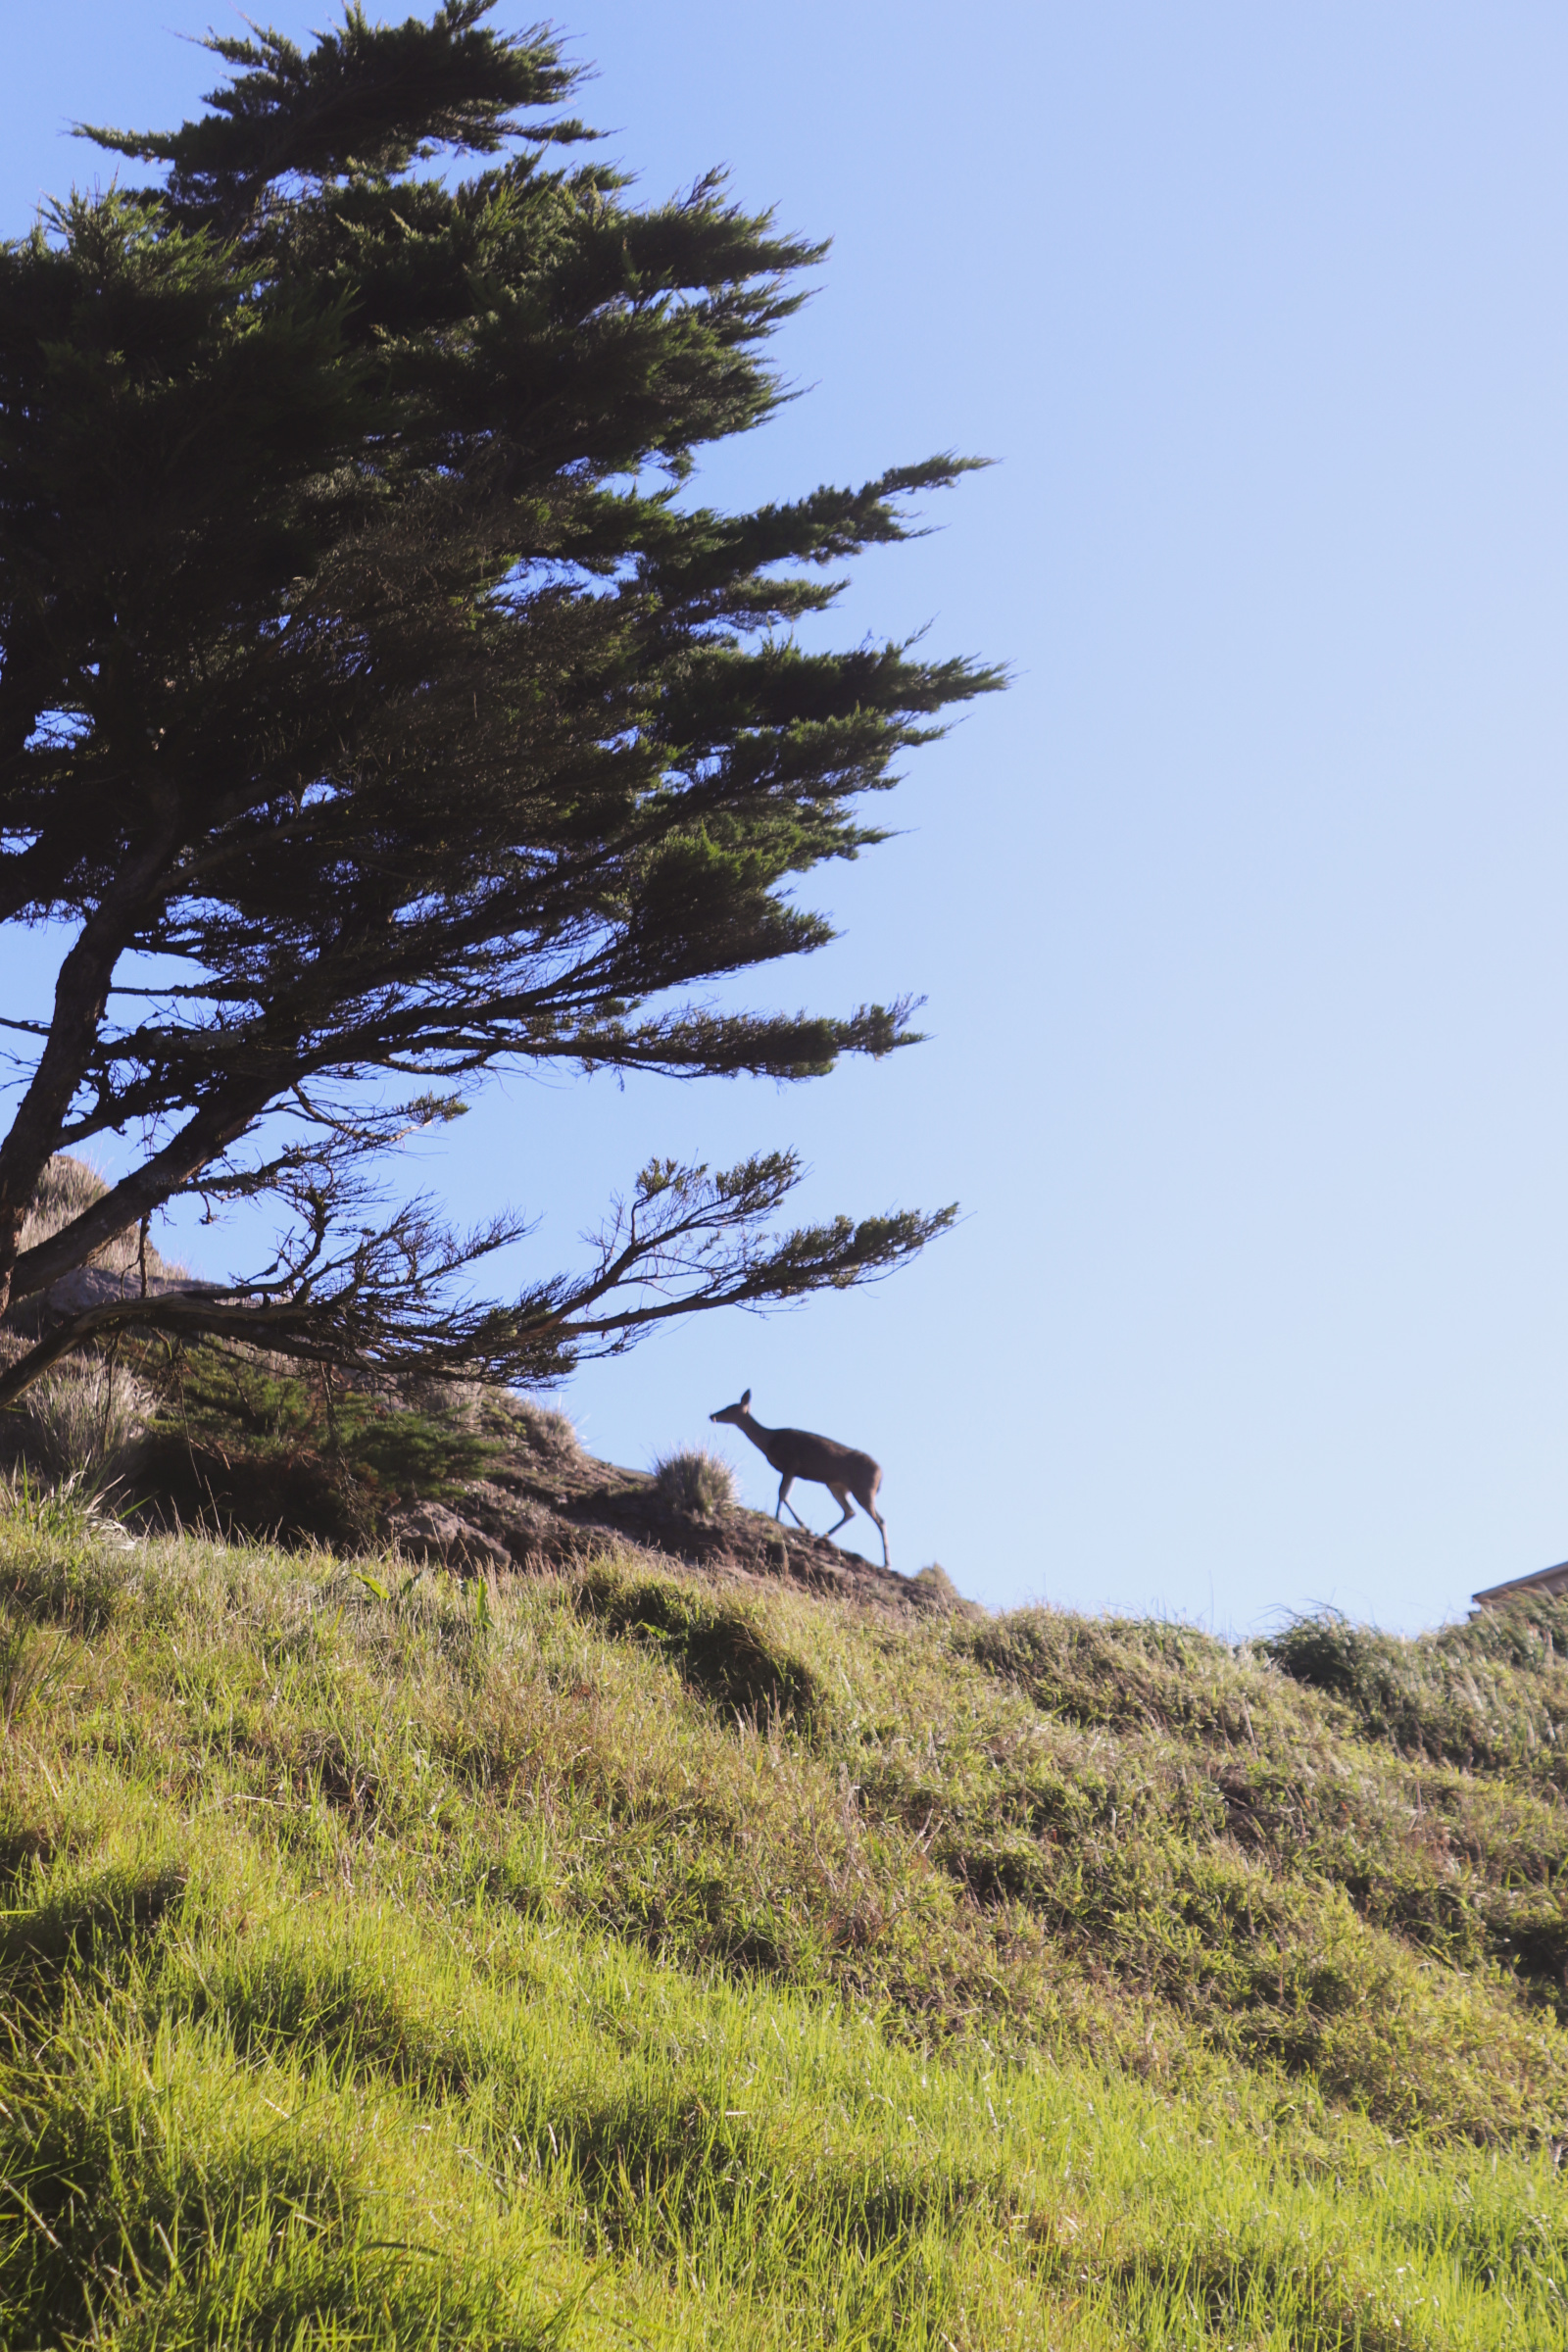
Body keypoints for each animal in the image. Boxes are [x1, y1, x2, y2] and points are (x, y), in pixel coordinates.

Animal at [709, 1388, 889, 1568]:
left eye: (730, 1408)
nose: (712, 1416)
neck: (769, 1442)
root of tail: (880, 1474)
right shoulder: (791, 1469)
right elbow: (784, 1494)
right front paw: (799, 1524)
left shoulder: (791, 1463)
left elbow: (782, 1493)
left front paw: (785, 1519)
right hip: (836, 1485)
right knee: (850, 1512)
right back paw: (823, 1535)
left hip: (863, 1487)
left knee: (879, 1519)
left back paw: (887, 1562)